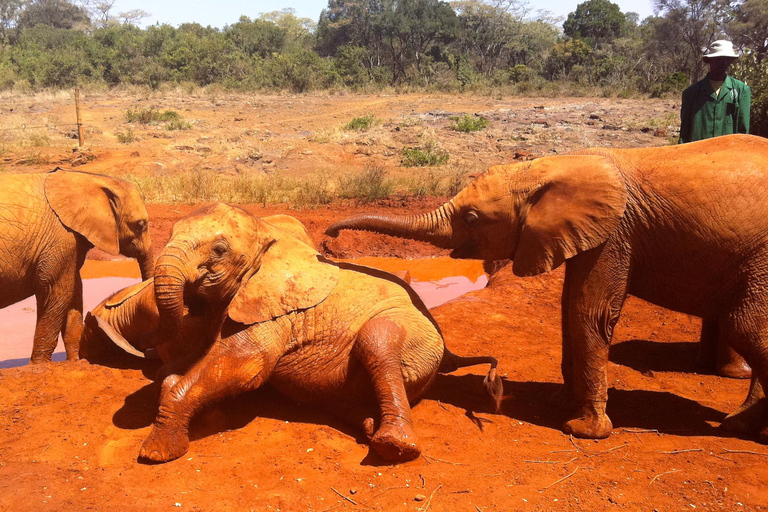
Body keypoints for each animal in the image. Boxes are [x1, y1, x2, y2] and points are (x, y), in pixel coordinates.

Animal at [0, 167, 153, 360]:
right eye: (140, 225)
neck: (85, 177)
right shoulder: (61, 238)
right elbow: (58, 292)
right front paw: (39, 364)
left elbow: (74, 293)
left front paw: (75, 361)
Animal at [97, 205, 504, 464]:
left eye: (219, 250)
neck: (269, 234)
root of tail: (449, 353)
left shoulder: (282, 311)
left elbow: (247, 366)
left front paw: (156, 453)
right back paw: (369, 424)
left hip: (413, 334)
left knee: (378, 342)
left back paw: (393, 446)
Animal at [326, 134, 768, 442]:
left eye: (471, 218)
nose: (329, 239)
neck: (551, 166)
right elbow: (569, 306)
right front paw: (563, 404)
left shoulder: (615, 232)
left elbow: (588, 311)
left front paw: (582, 429)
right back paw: (742, 424)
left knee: (745, 325)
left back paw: (742, 425)